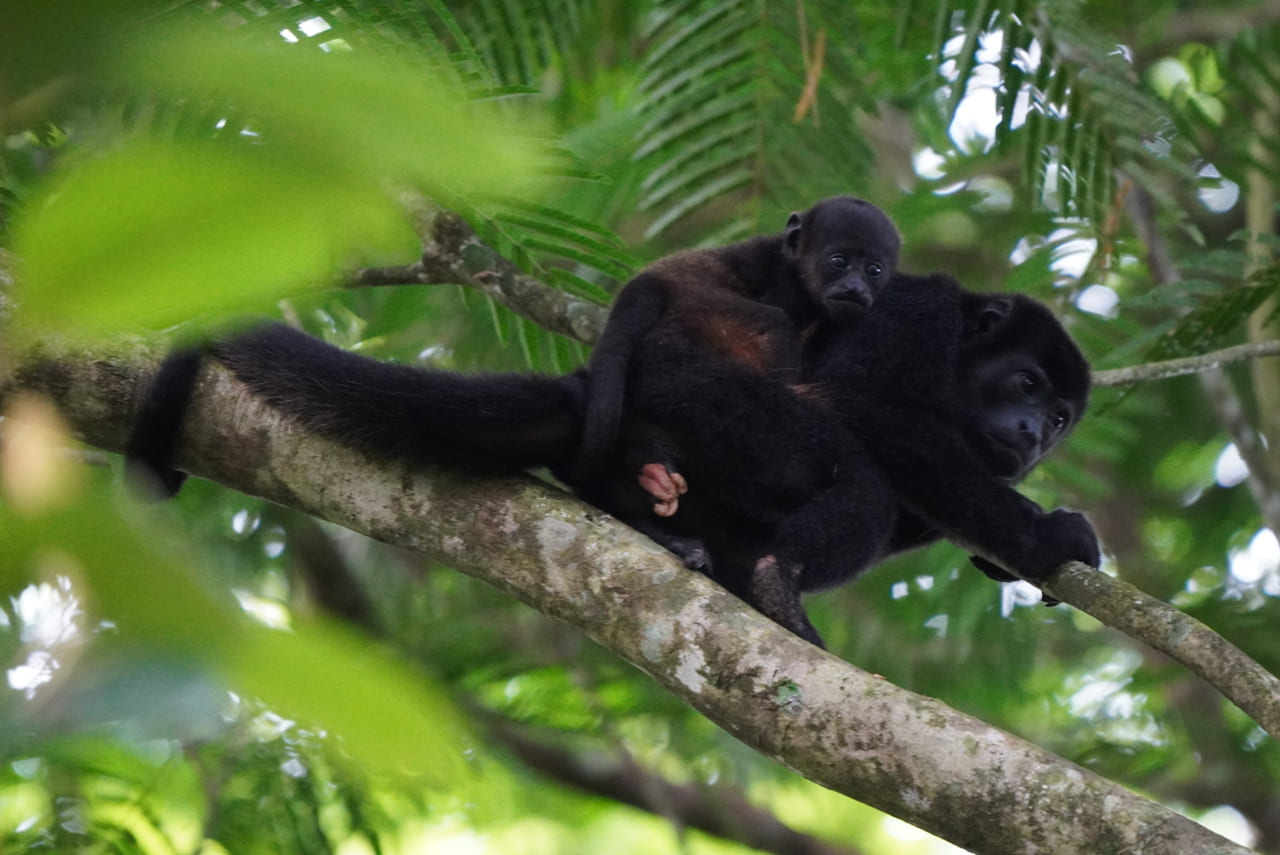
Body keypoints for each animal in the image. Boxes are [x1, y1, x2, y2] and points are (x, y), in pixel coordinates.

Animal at [125, 272, 1097, 646]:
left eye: (1059, 418)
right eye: (1023, 383)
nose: (1030, 434)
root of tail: (598, 381)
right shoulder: (914, 311)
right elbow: (870, 409)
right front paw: (1043, 538)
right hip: (709, 399)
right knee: (855, 479)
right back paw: (778, 587)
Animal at [573, 195, 900, 491]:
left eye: (873, 270)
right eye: (839, 261)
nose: (855, 288)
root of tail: (653, 279)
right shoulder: (786, 285)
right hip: (702, 299)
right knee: (775, 321)